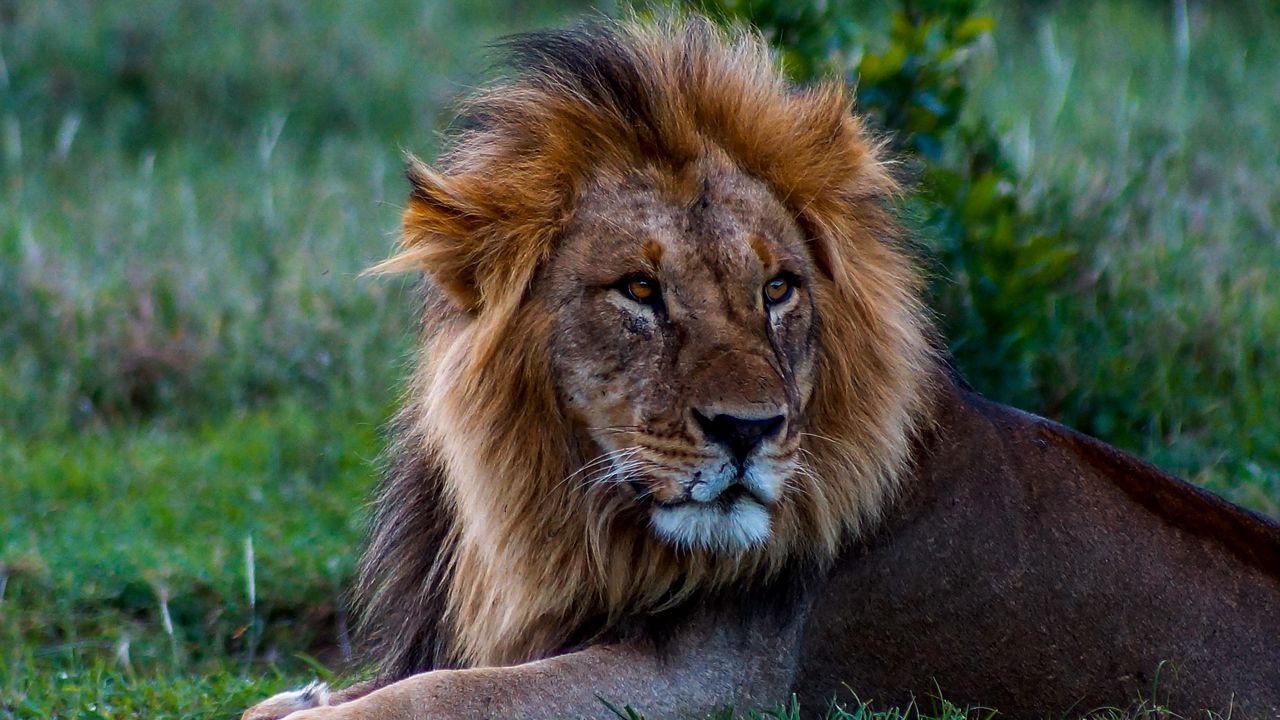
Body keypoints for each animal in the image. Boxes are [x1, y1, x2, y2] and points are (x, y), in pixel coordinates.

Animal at [243, 16, 1280, 720]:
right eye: (639, 290)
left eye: (777, 288)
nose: (749, 432)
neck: (568, 518)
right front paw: (301, 697)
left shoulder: (711, 685)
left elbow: (446, 695)